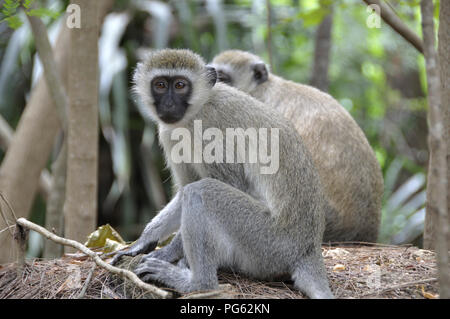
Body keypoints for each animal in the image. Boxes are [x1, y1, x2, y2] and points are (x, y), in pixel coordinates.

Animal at [110, 48, 332, 298]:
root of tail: (308, 249)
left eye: (180, 85)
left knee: (202, 192)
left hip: (269, 243)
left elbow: (225, 184)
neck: (197, 109)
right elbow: (184, 188)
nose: (168, 104)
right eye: (159, 85)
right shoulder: (168, 133)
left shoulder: (211, 130)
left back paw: (197, 283)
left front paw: (166, 252)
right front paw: (143, 241)